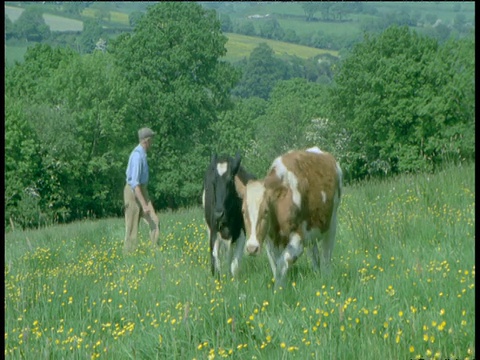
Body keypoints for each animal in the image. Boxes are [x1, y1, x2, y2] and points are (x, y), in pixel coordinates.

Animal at [202, 150, 255, 278]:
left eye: (230, 181)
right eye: (213, 182)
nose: (218, 213)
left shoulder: (241, 233)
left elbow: (234, 265)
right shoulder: (214, 232)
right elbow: (216, 259)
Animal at [235, 146, 342, 290]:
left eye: (266, 211)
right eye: (243, 211)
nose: (252, 248)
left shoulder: (298, 239)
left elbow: (282, 263)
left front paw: (278, 290)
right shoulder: (270, 242)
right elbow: (276, 267)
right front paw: (279, 289)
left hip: (332, 223)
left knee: (326, 255)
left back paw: (326, 277)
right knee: (314, 254)